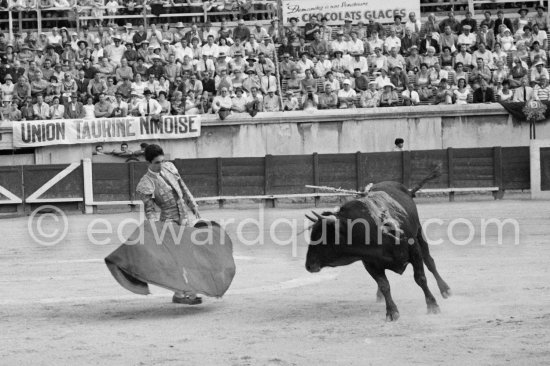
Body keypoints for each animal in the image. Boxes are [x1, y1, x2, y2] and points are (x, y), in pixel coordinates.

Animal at [306, 171, 452, 320]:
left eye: (322, 236)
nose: (308, 265)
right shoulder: (370, 263)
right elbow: (383, 284)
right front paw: (392, 311)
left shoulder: (414, 250)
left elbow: (420, 278)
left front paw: (432, 305)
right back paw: (380, 296)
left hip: (419, 234)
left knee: (429, 262)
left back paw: (445, 289)